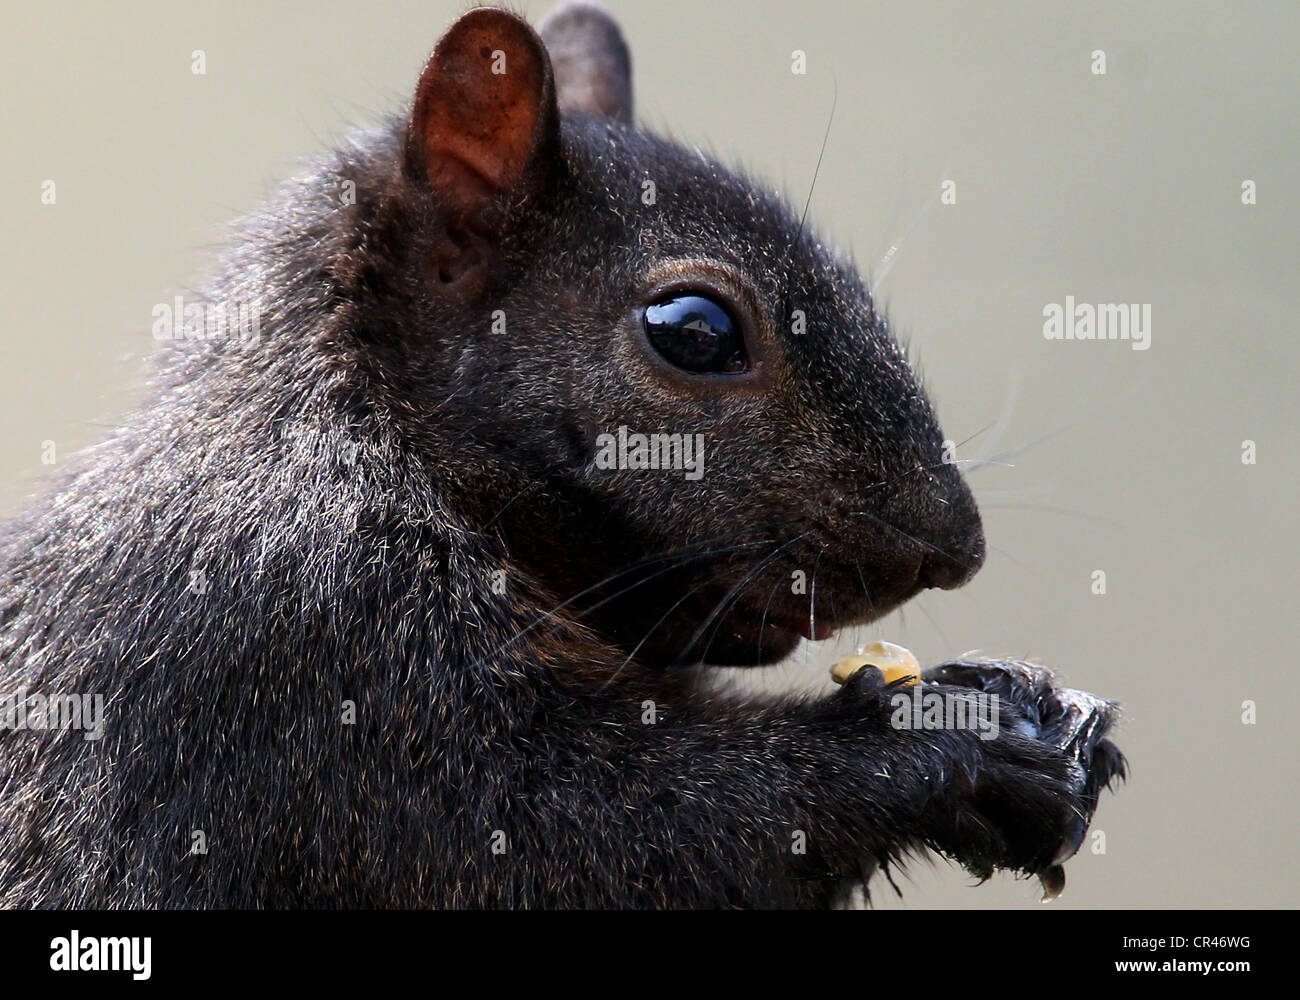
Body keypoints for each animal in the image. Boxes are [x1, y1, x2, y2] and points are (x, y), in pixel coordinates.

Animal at [0, 1, 1118, 905]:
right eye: (696, 331)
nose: (954, 548)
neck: (379, 447)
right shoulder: (309, 662)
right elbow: (575, 838)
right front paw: (957, 735)